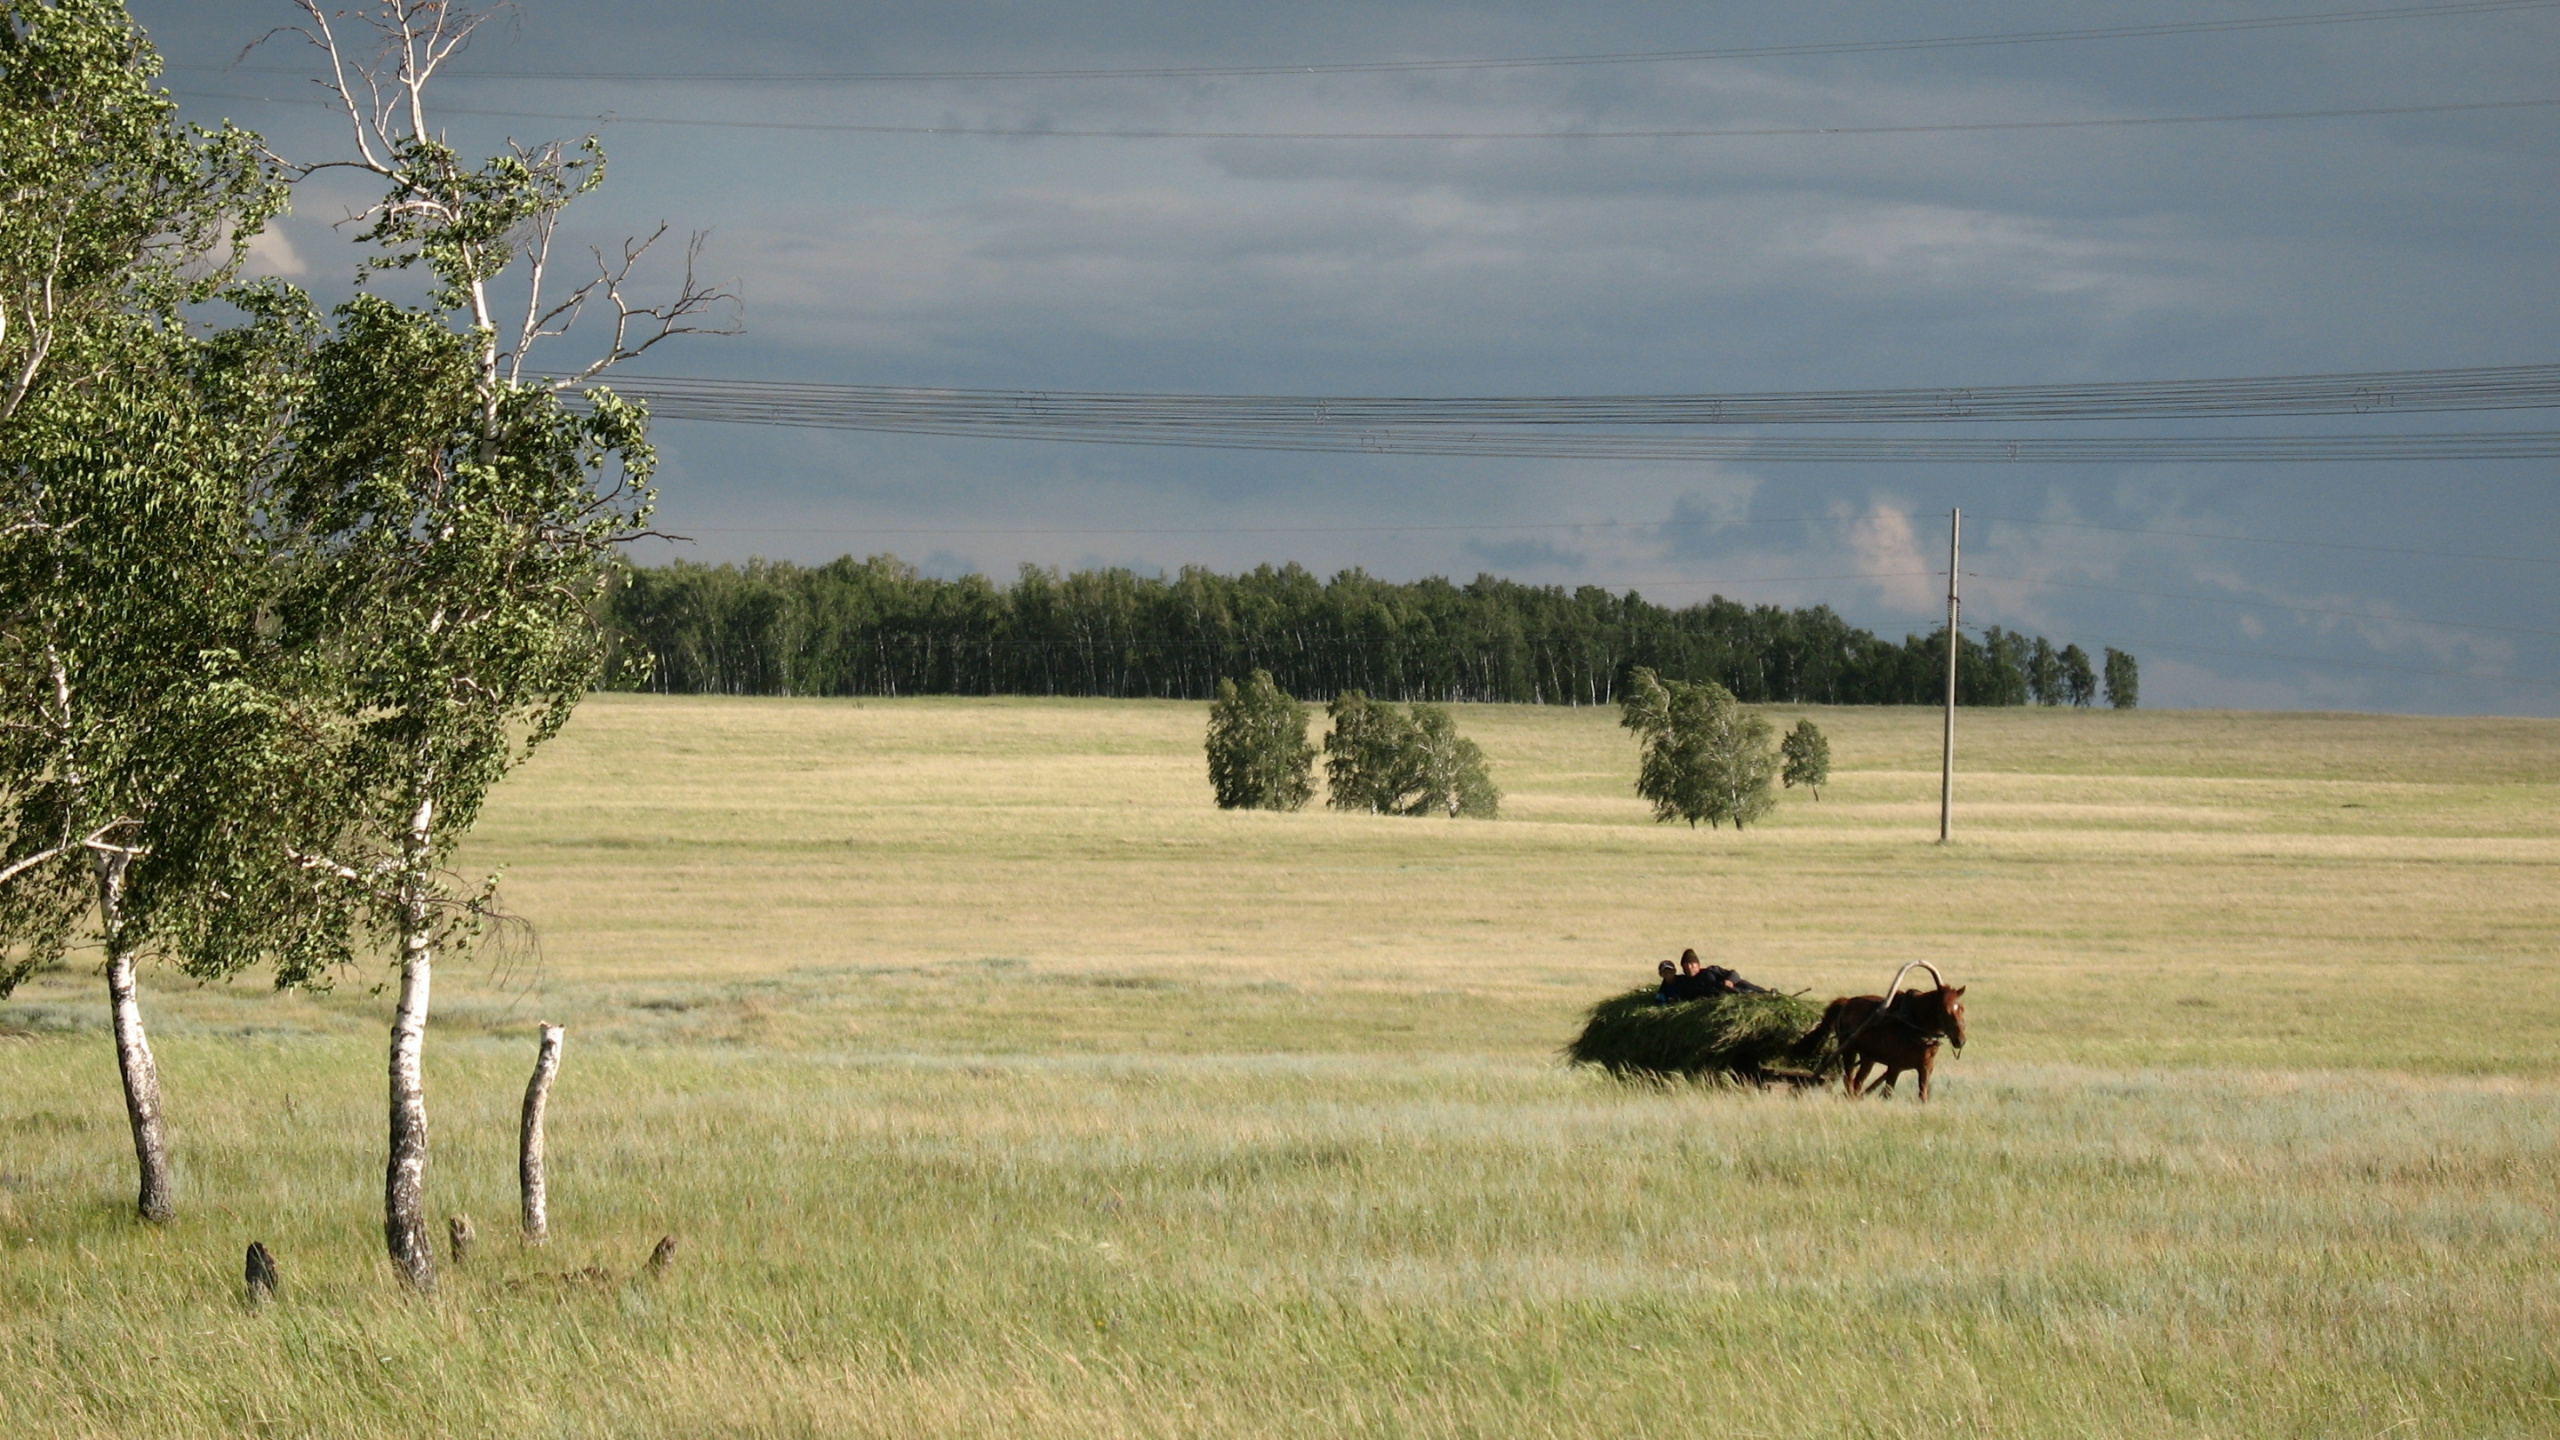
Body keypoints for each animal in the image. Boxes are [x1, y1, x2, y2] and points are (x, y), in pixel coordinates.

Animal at [1792, 973, 1966, 1096]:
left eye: (1962, 1008)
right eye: (1945, 1010)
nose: (1961, 1040)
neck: (1913, 1024)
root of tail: (1846, 1002)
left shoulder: (1927, 1067)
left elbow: (1923, 1095)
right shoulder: (1895, 1066)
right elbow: (1887, 1094)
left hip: (1868, 1058)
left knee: (1857, 1083)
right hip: (1849, 1050)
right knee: (1849, 1080)